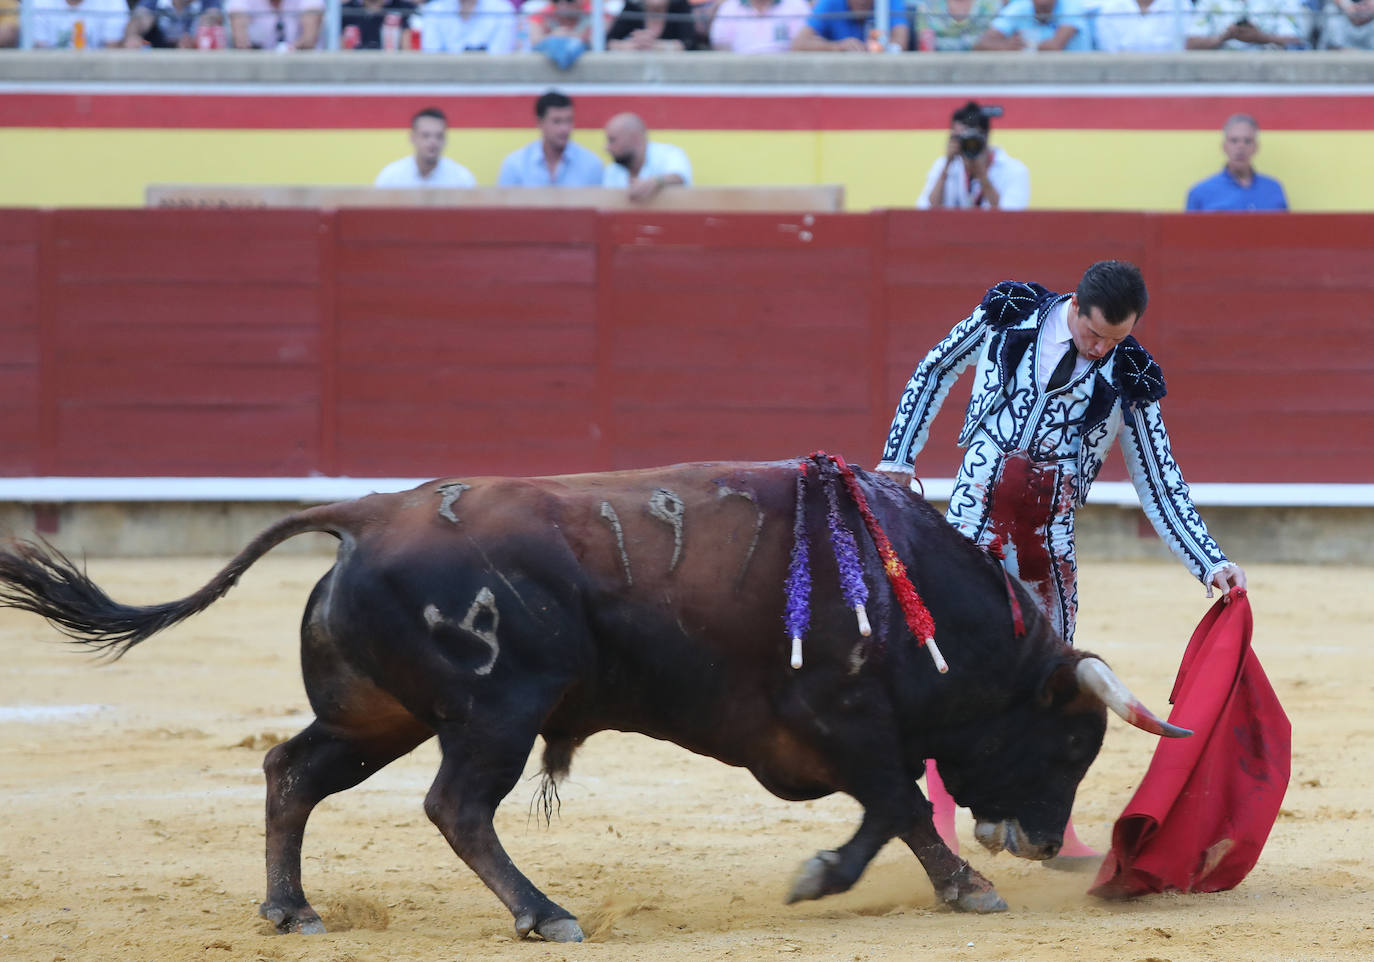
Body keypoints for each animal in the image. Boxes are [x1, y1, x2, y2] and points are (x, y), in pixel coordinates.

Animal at [0, 461, 1181, 945]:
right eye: (1071, 739)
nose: (1041, 839)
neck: (907, 589)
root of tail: (367, 514)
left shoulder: (829, 736)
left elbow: (887, 808)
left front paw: (905, 880)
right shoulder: (843, 716)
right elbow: (892, 800)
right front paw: (941, 885)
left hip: (379, 716)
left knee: (291, 771)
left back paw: (290, 908)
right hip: (493, 710)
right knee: (457, 808)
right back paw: (544, 912)